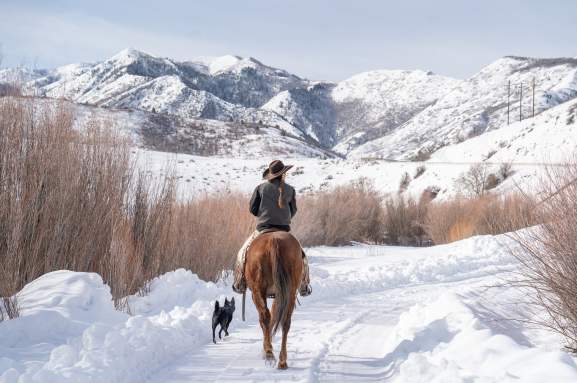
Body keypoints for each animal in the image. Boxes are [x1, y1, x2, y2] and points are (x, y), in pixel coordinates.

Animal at [244, 230, 304, 370]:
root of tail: (274, 240)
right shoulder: (279, 295)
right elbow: (275, 316)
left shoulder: (257, 295)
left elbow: (266, 319)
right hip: (289, 293)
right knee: (285, 322)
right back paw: (282, 361)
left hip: (258, 290)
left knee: (265, 317)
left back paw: (269, 353)